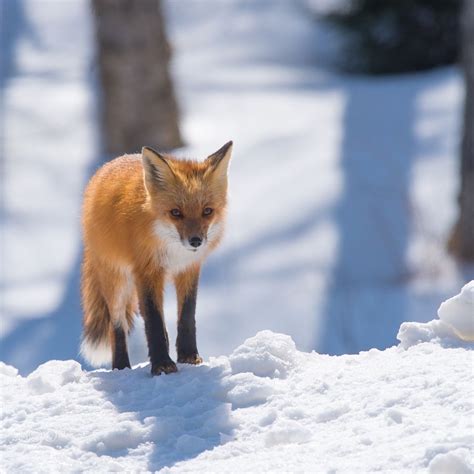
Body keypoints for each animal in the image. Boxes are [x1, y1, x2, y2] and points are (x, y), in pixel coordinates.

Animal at [80, 141, 232, 374]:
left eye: (207, 211)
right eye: (176, 213)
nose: (196, 241)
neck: (172, 249)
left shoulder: (188, 269)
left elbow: (187, 316)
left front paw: (188, 356)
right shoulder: (146, 271)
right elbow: (153, 321)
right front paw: (162, 364)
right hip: (117, 282)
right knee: (117, 325)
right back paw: (121, 367)